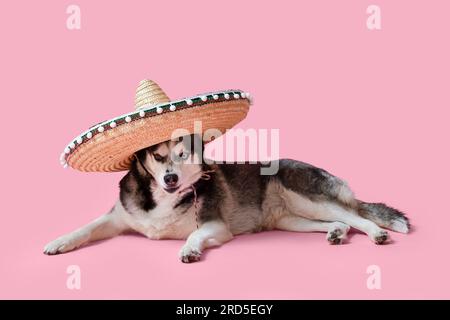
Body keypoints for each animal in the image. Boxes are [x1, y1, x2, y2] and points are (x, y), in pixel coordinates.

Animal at [44, 134, 410, 262]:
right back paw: (335, 233)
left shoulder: (215, 226)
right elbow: (86, 228)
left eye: (182, 154)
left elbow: (193, 235)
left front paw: (189, 250)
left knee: (356, 216)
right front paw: (59, 242)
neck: (162, 199)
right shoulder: (116, 217)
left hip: (309, 196)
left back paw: (377, 233)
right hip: (293, 220)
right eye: (159, 157)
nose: (170, 179)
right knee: (338, 222)